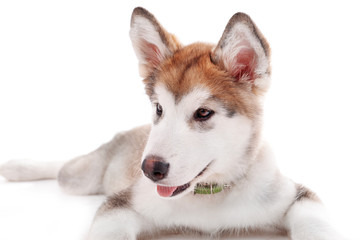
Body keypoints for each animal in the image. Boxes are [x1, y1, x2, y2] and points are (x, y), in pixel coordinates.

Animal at [0, 6, 344, 239]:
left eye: (203, 113)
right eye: (159, 109)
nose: (150, 169)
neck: (210, 196)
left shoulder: (298, 196)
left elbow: (318, 225)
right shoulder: (122, 203)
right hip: (81, 178)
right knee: (64, 168)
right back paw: (19, 167)